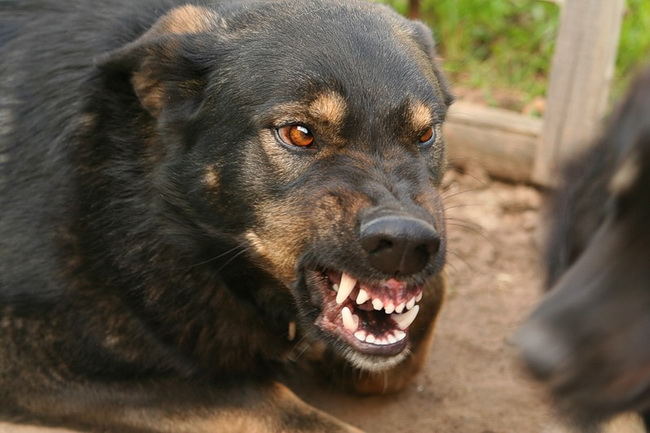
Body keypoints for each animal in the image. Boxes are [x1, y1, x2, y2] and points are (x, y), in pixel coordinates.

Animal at [0, 0, 450, 430]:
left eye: (426, 134)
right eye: (299, 133)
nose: (406, 244)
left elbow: (431, 297)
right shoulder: (31, 357)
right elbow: (279, 407)